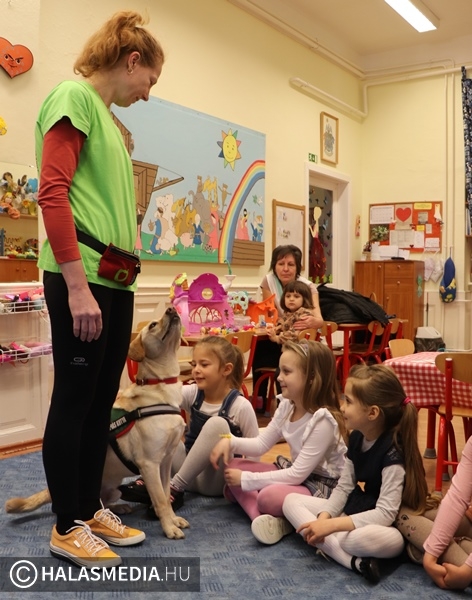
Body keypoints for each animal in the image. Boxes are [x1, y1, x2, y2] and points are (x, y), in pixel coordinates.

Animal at [5, 306, 190, 540]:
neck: (160, 384)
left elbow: (166, 495)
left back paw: (117, 510)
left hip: (115, 488)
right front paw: (169, 528)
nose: (171, 308)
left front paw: (174, 520)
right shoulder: (149, 463)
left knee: (104, 504)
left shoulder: (165, 462)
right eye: (152, 325)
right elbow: (159, 500)